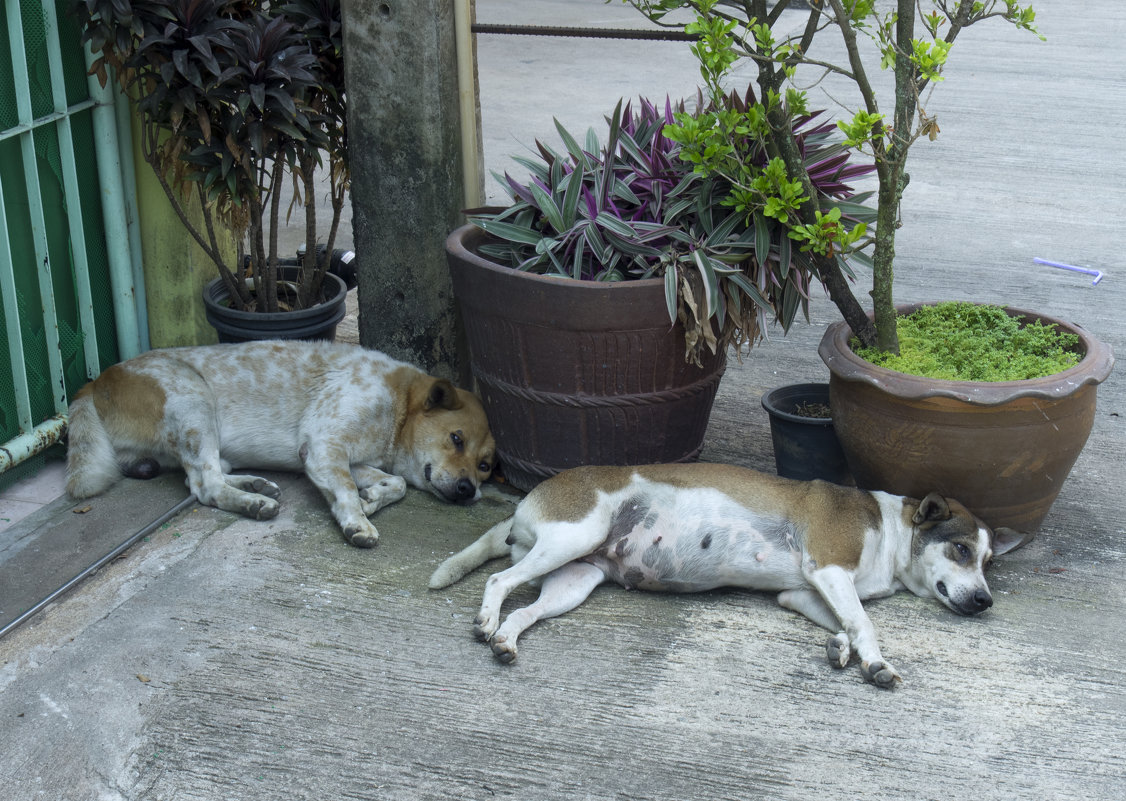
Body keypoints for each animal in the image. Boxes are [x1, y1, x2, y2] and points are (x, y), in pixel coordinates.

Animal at [63, 342, 495, 547]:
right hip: (193, 403)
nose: (467, 490)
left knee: (204, 477)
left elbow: (396, 483)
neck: (399, 405)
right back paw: (254, 502)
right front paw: (358, 520)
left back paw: (255, 485)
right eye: (456, 438)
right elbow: (347, 491)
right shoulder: (324, 446)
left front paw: (372, 500)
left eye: (485, 466)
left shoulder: (344, 456)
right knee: (204, 485)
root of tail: (94, 384)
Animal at [427, 464, 1031, 689]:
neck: (888, 530)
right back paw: (487, 622)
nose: (985, 601)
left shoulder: (803, 591)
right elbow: (866, 623)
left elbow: (845, 623)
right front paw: (875, 662)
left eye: (988, 563)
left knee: (527, 610)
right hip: (570, 538)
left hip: (573, 582)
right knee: (500, 583)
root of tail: (530, 495)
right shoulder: (828, 568)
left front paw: (841, 648)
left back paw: (506, 641)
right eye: (959, 550)